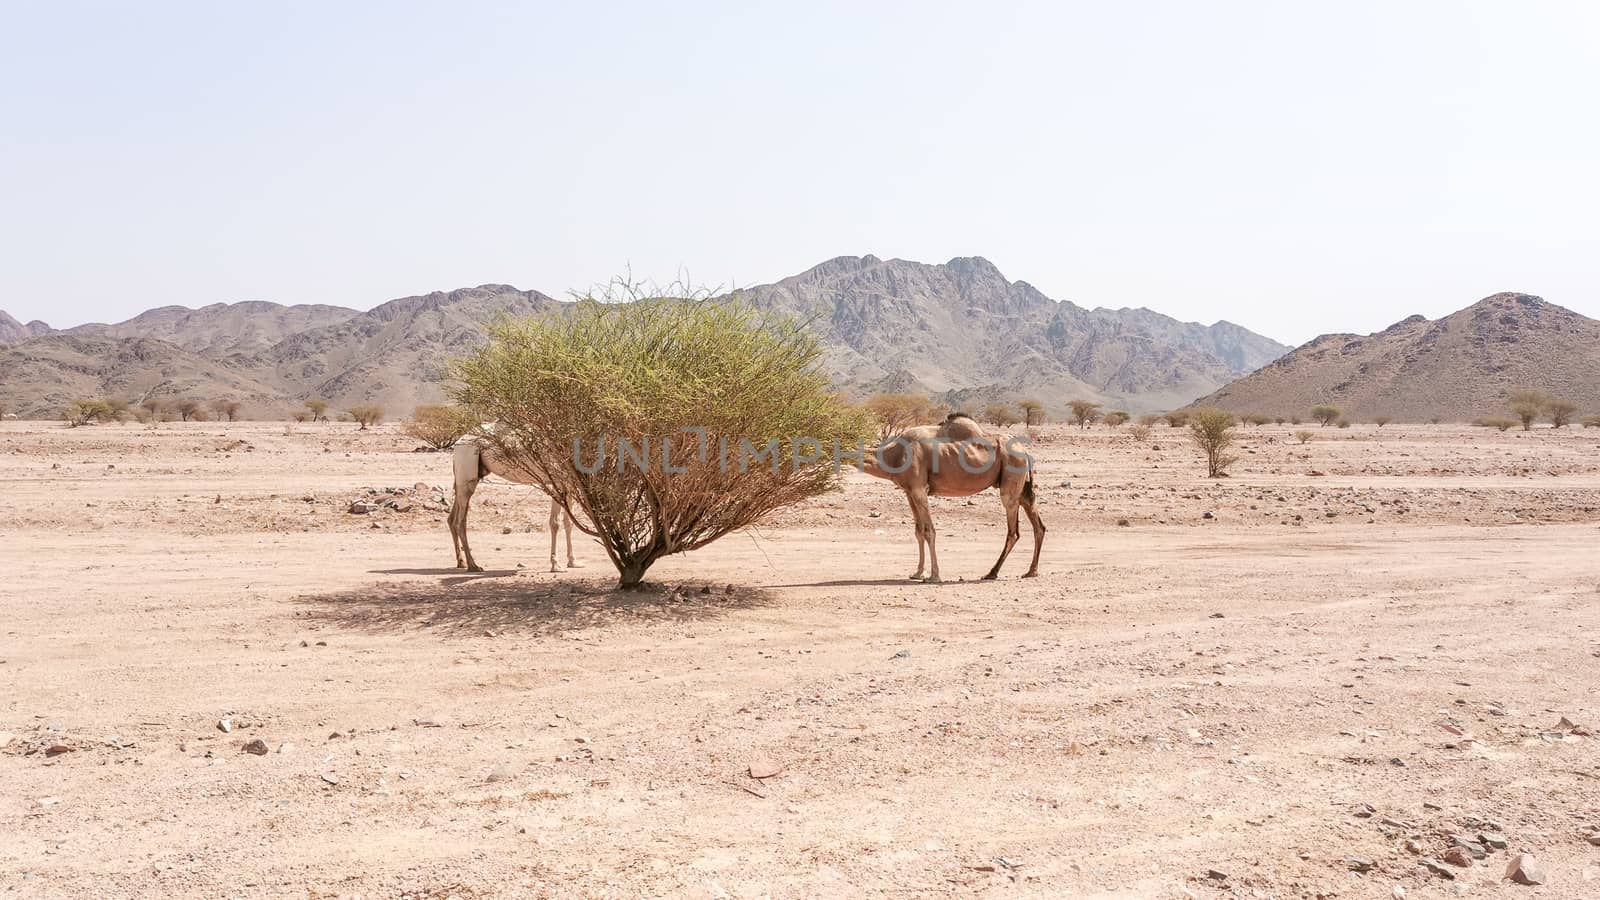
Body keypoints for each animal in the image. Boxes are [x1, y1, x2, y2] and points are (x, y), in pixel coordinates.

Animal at [444, 438, 582, 570]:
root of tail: (457, 444)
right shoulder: (557, 479)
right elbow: (555, 523)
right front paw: (556, 565)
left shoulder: (569, 480)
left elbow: (569, 523)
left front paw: (573, 562)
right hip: (466, 469)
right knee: (459, 521)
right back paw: (473, 565)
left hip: (467, 478)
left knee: (452, 518)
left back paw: (462, 562)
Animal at [870, 409, 1043, 576]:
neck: (894, 456)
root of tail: (1024, 452)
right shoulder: (909, 491)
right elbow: (919, 531)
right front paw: (918, 573)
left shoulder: (919, 489)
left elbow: (929, 531)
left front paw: (934, 575)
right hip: (1023, 489)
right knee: (1038, 525)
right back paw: (1031, 571)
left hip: (1011, 481)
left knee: (1013, 531)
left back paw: (992, 573)